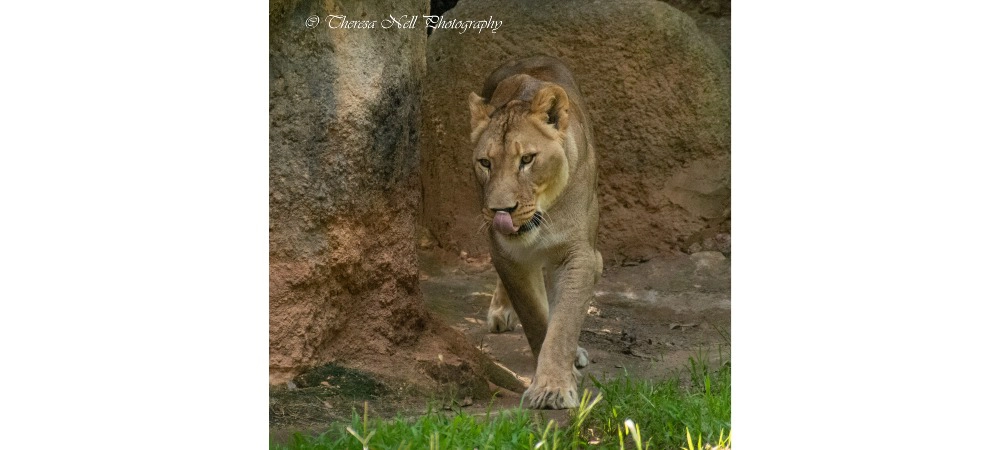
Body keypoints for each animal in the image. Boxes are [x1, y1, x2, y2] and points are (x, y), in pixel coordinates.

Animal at [468, 56, 603, 409]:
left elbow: (563, 323)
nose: (501, 211)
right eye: (485, 163)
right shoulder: (507, 254)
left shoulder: (577, 254)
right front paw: (554, 382)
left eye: (527, 159)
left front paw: (553, 388)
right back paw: (500, 311)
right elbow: (535, 317)